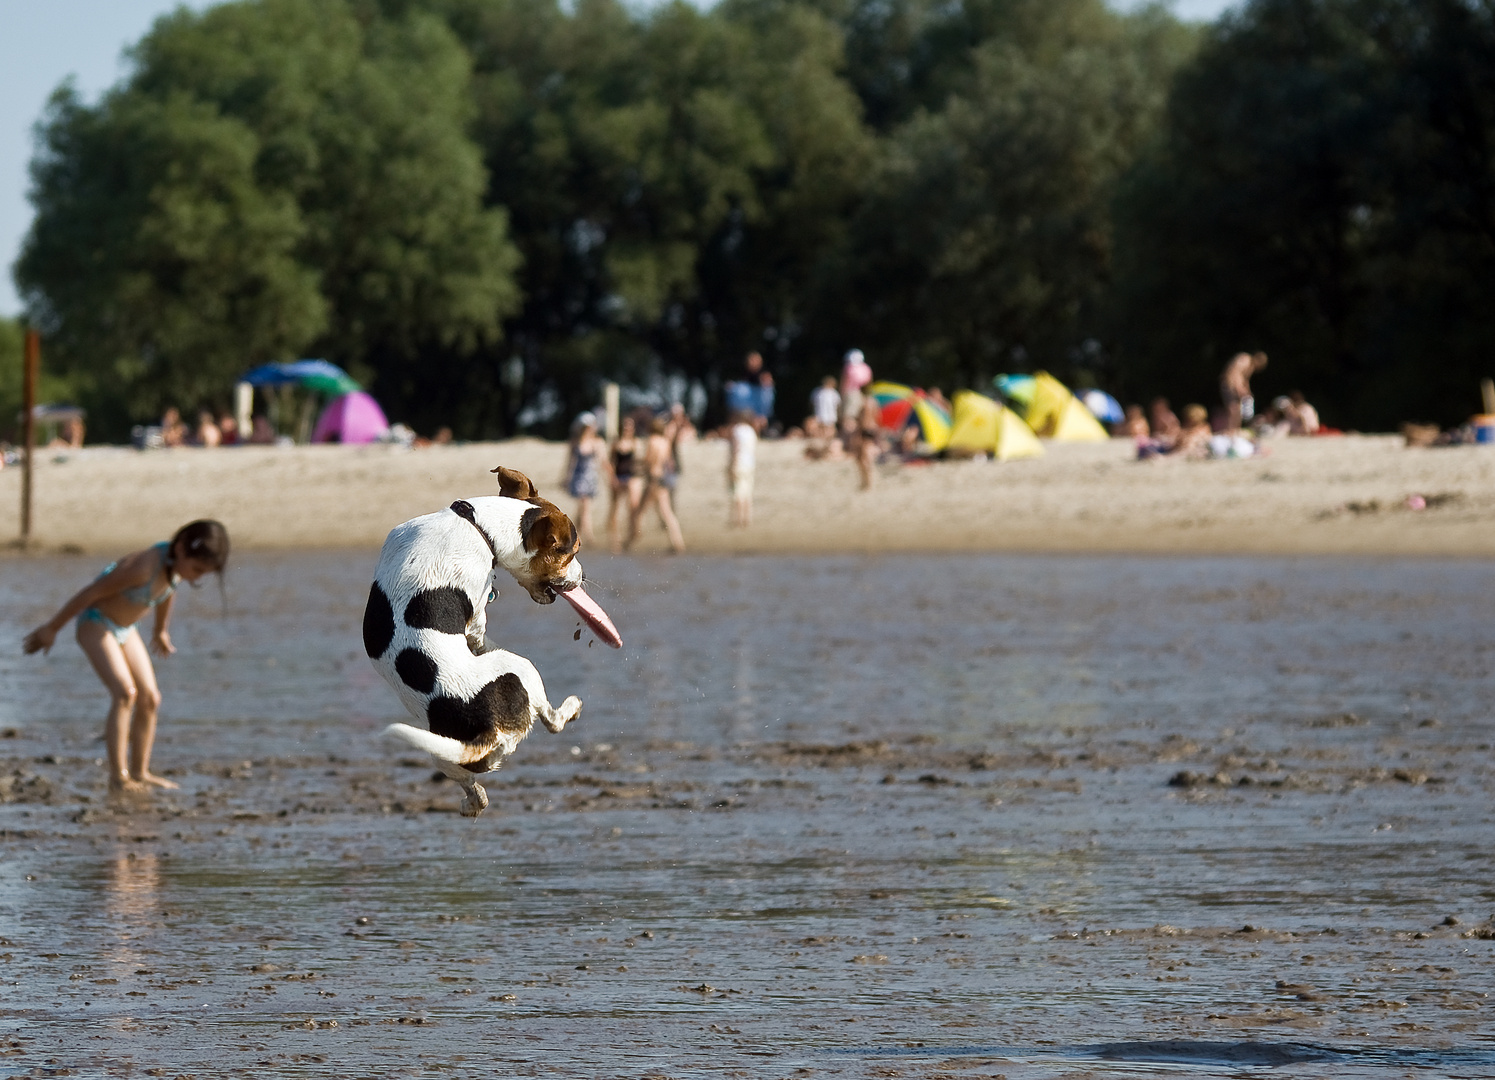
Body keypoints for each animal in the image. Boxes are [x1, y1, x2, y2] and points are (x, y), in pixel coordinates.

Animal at [364, 466, 621, 813]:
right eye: (571, 552)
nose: (582, 578)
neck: (477, 523)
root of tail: (486, 730)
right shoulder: (476, 612)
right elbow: (480, 633)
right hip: (521, 668)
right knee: (552, 721)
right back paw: (571, 707)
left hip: (442, 750)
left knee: (464, 774)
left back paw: (473, 801)